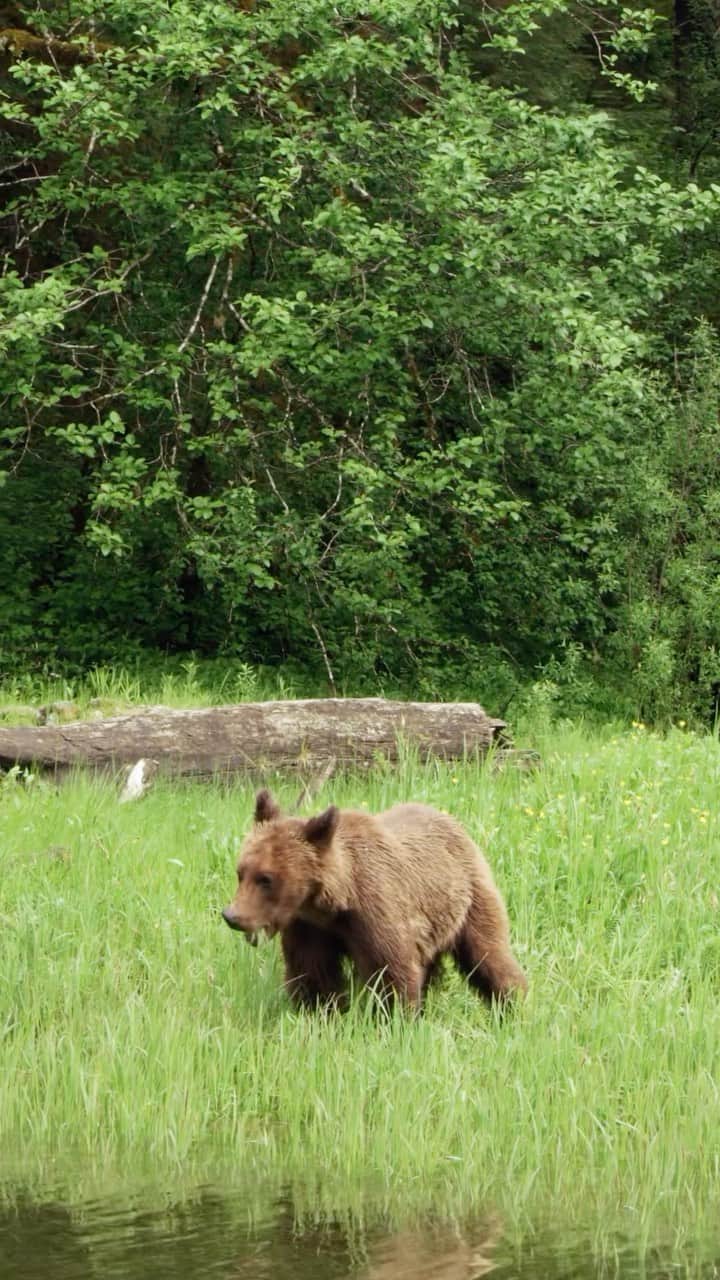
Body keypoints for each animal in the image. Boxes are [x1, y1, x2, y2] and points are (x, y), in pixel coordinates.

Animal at [221, 789, 527, 1011]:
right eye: (241, 872)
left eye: (266, 878)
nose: (232, 916)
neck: (333, 904)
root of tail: (454, 823)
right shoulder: (309, 927)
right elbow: (313, 975)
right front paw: (320, 1012)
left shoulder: (376, 913)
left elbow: (392, 972)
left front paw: (395, 1019)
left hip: (469, 899)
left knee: (488, 955)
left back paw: (513, 1004)